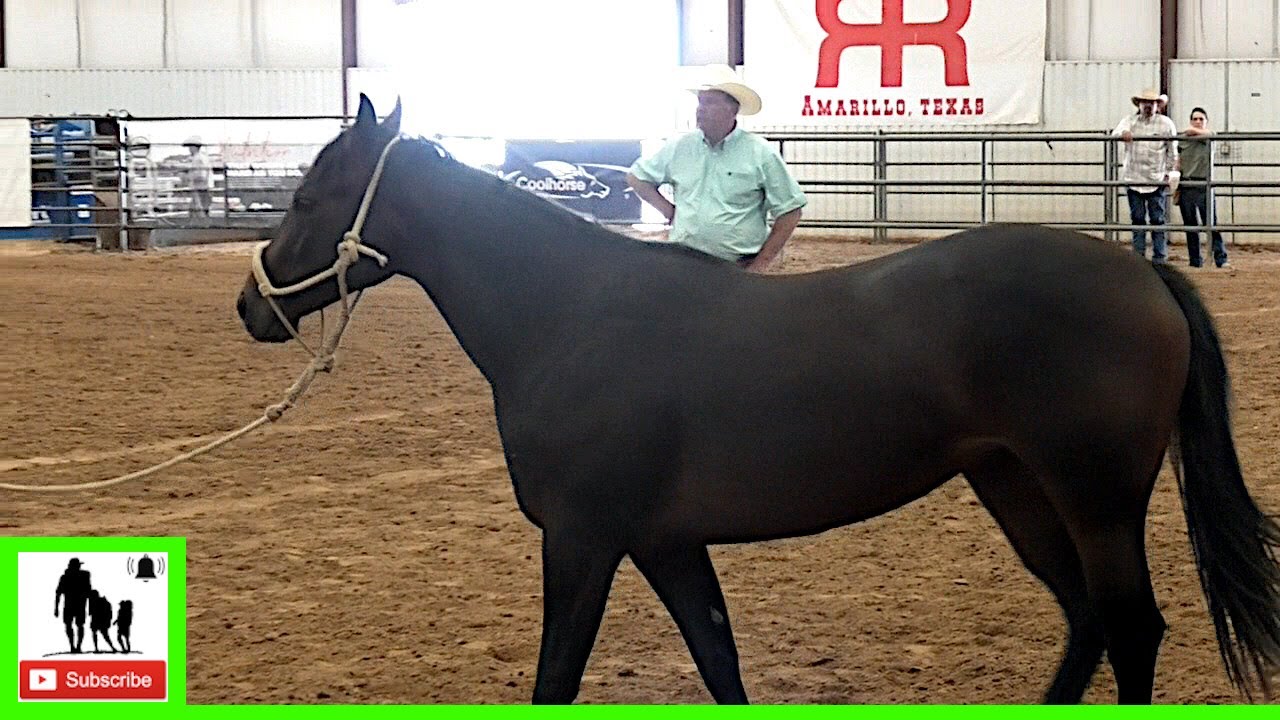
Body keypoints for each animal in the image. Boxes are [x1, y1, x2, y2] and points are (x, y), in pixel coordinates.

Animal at [237, 95, 1280, 704]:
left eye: (307, 197)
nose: (252, 305)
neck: (569, 314)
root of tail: (1144, 277)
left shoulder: (582, 538)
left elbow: (557, 678)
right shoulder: (664, 542)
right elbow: (718, 660)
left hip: (1096, 498)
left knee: (1132, 628)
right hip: (1015, 488)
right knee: (1088, 620)